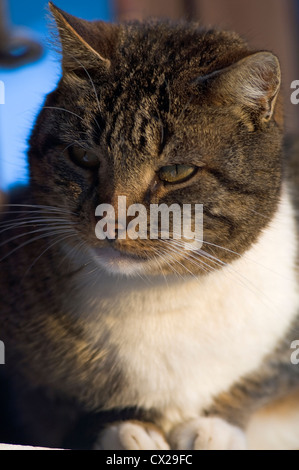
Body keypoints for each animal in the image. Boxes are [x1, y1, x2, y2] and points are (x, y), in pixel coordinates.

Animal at [0, 1, 299, 450]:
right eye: (82, 156)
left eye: (176, 172)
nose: (110, 221)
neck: (161, 295)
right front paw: (128, 427)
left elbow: (262, 379)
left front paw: (213, 427)